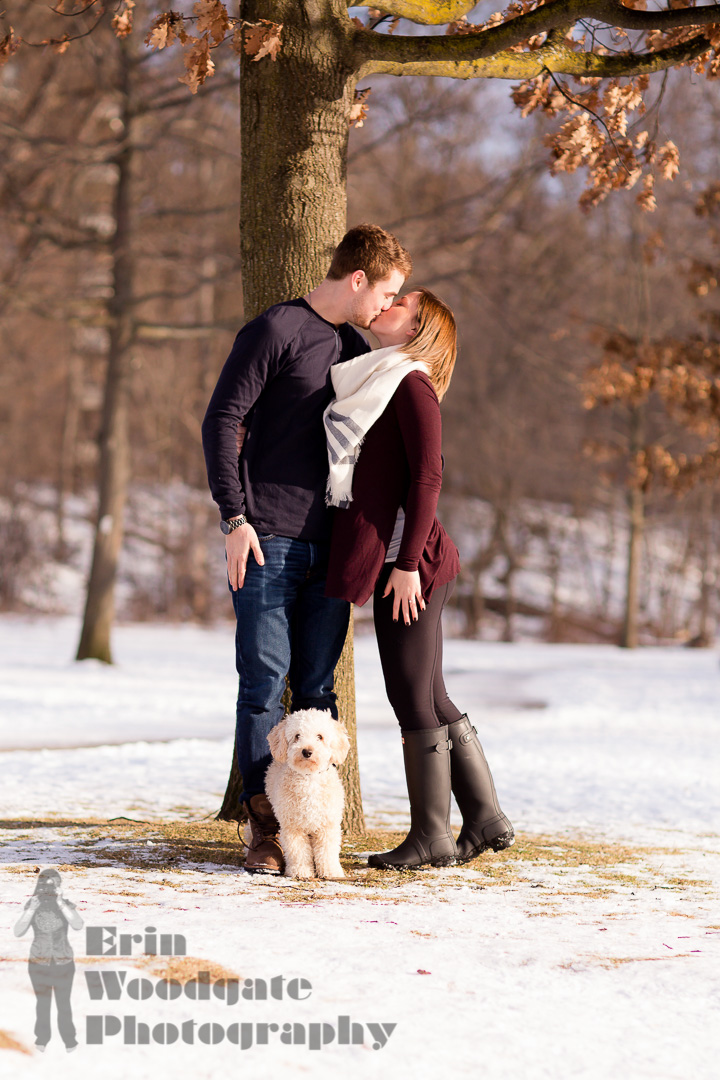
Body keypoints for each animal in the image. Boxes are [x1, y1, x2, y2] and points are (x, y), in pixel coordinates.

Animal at [267, 708, 351, 876]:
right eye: (297, 736)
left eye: (320, 737)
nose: (307, 751)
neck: (309, 778)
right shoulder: (292, 826)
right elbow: (298, 851)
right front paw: (301, 871)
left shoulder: (328, 824)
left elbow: (327, 851)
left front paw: (331, 871)